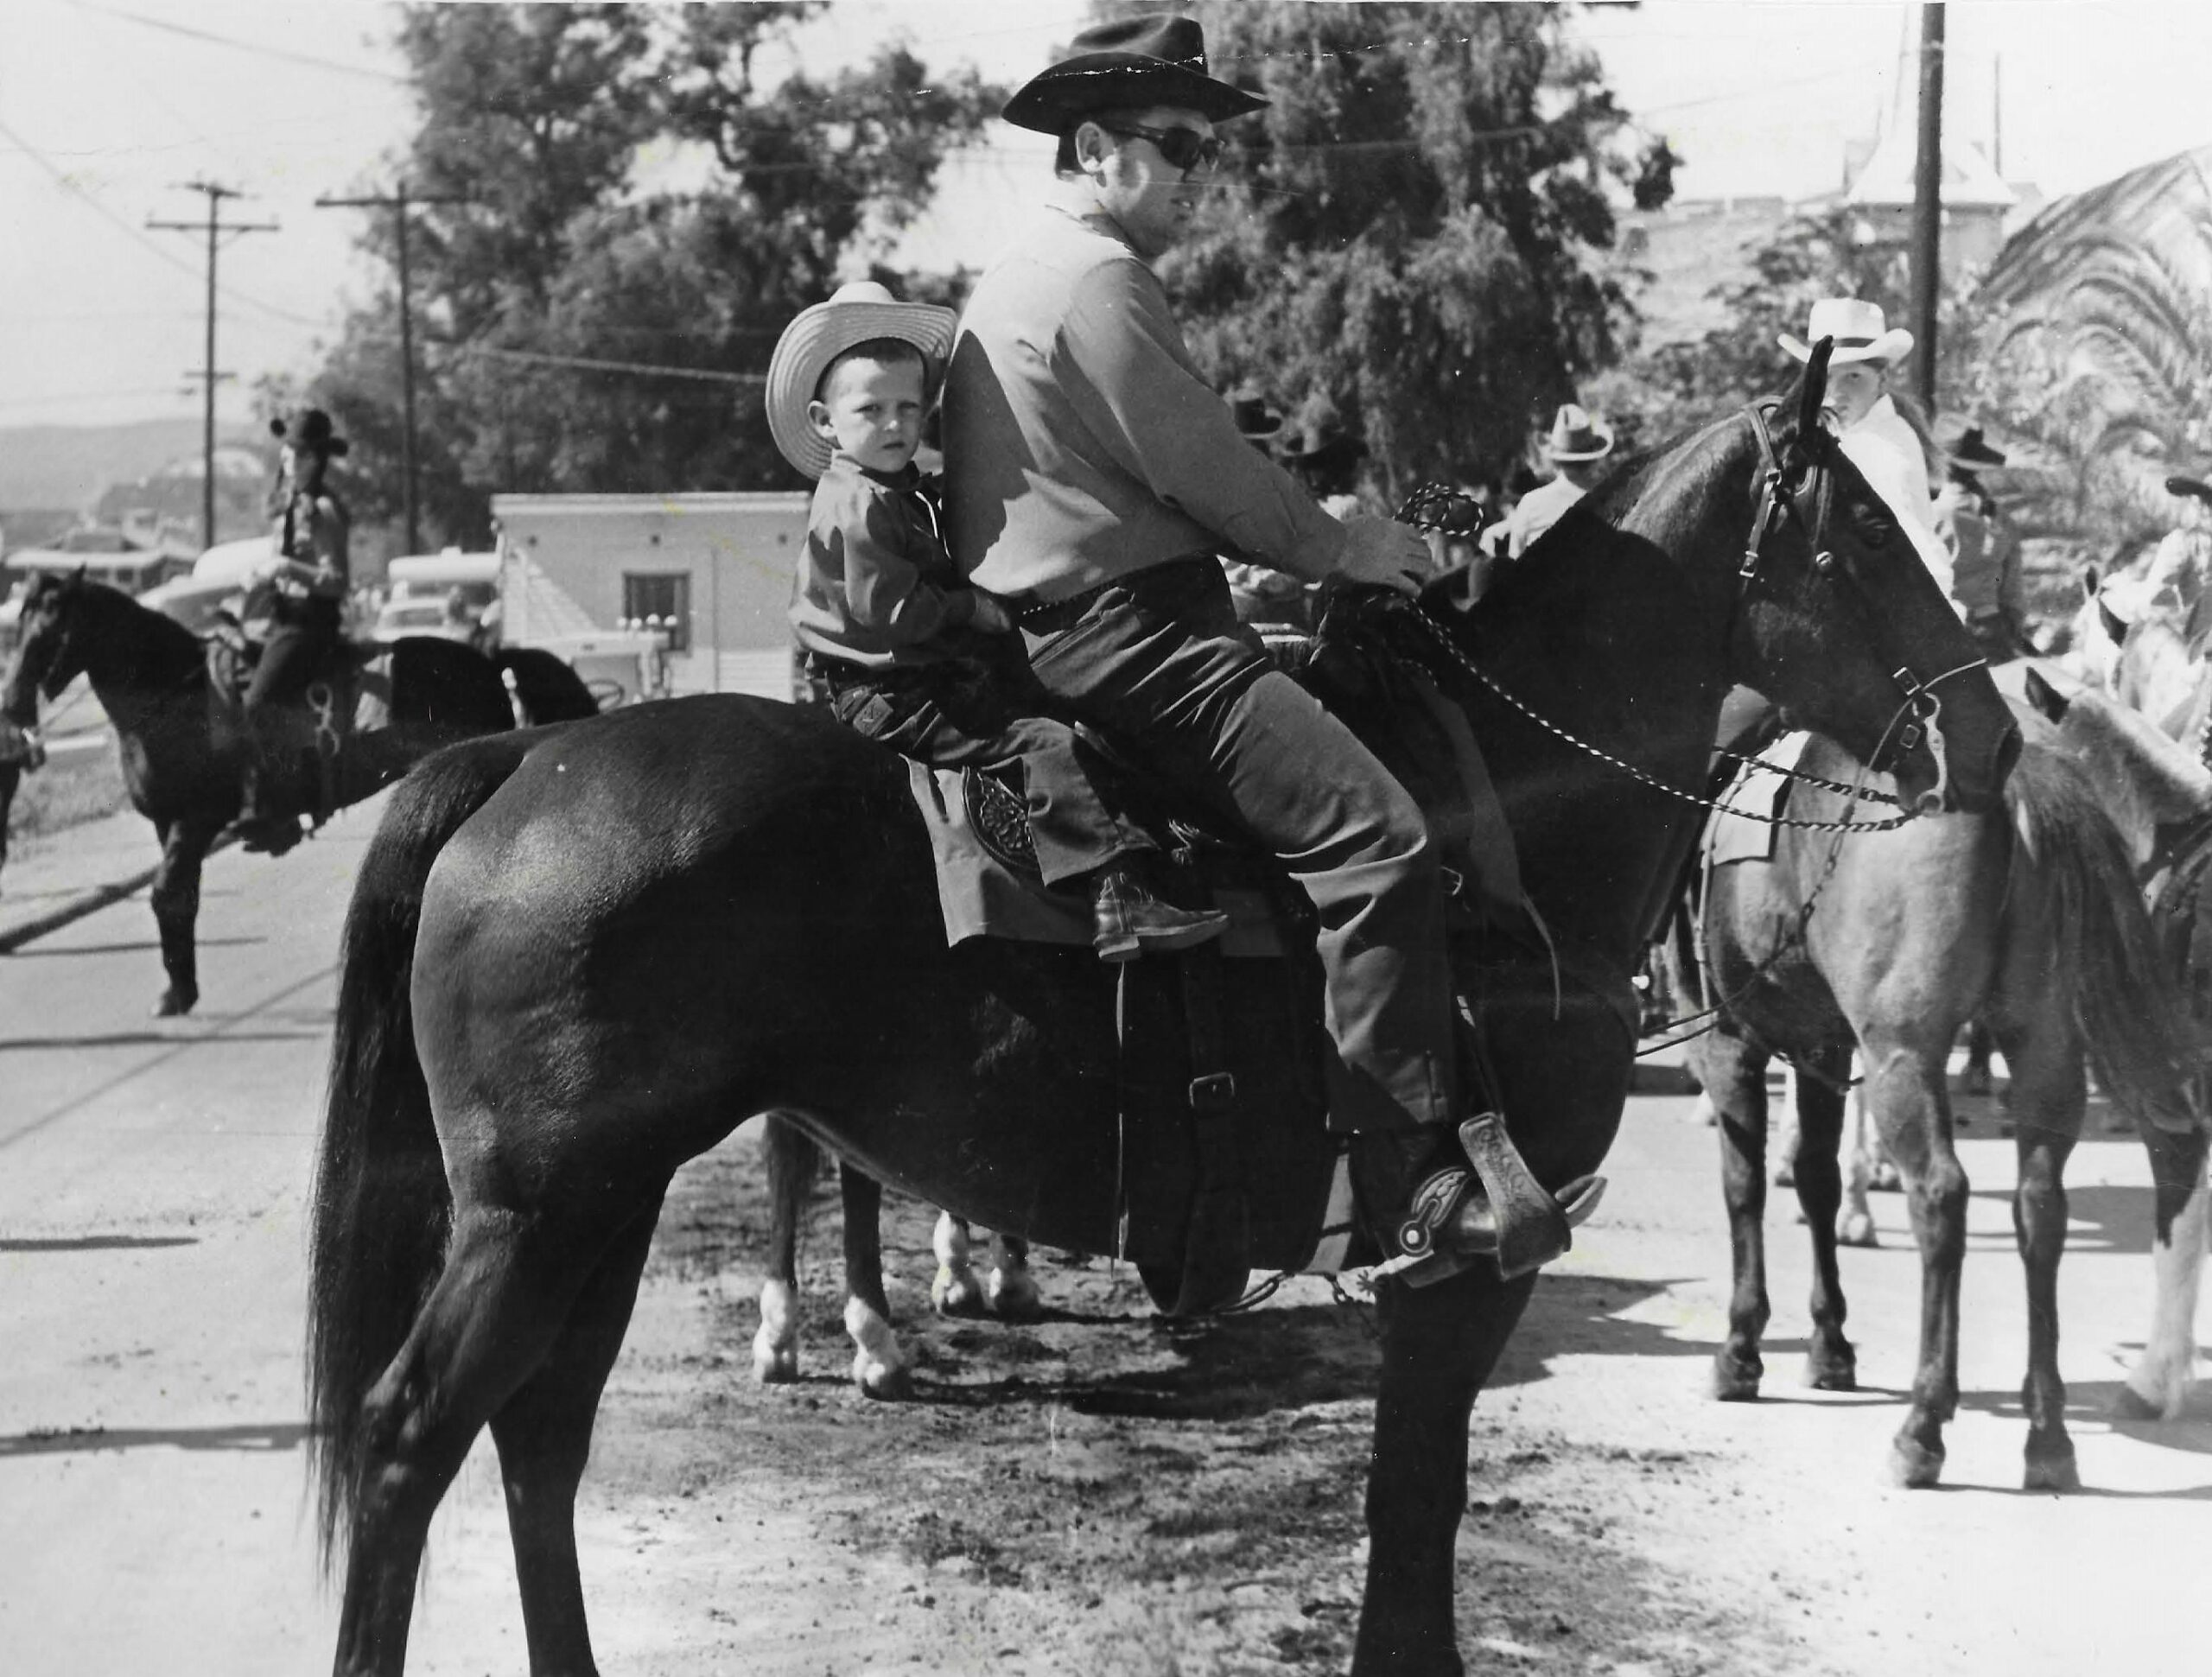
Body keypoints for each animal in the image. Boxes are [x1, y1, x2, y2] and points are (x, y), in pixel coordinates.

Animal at [0, 579, 601, 1017]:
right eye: (18, 628)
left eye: (47, 629)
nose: (13, 708)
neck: (177, 694)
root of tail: (487, 658)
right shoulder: (166, 823)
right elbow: (180, 898)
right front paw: (179, 990)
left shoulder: (194, 820)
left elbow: (165, 893)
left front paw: (177, 992)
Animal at [307, 360, 2025, 1672]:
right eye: (1870, 538)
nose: (1998, 736)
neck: (1505, 818)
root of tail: (526, 758)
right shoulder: (1468, 1260)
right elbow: (1415, 1515)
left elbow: (1411, 1512)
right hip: (537, 1216)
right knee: (406, 1441)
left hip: (598, 1210)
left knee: (536, 1446)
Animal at [1681, 716, 2202, 1486]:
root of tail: (2014, 779)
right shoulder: (1821, 1047)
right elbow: (1817, 1178)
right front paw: (1830, 1343)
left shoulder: (1733, 1040)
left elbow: (1745, 1186)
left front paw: (1742, 1348)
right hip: (2045, 1047)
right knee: (2040, 1209)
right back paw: (2048, 1436)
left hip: (1904, 1054)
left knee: (1940, 1196)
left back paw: (1923, 1425)